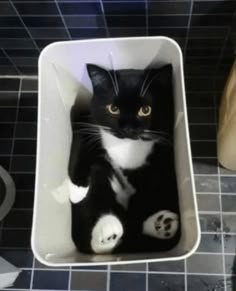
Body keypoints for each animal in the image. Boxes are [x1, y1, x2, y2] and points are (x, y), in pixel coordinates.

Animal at [69, 63, 180, 253]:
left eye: (145, 110)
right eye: (113, 109)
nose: (128, 128)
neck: (126, 145)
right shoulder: (85, 120)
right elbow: (79, 145)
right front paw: (77, 191)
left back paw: (163, 224)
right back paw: (108, 232)